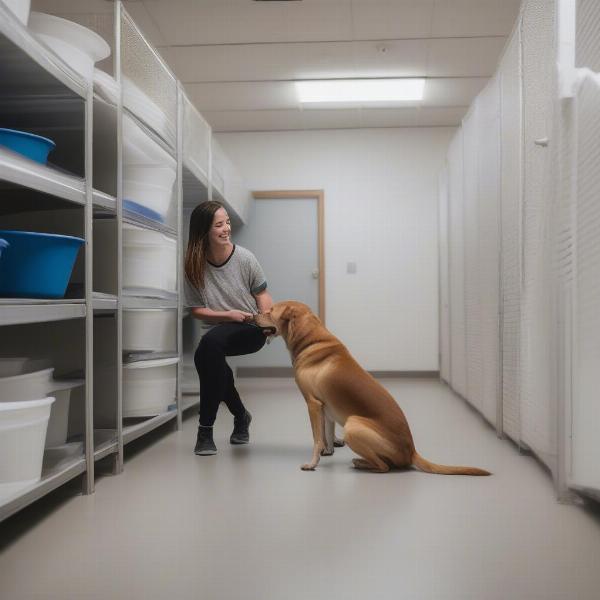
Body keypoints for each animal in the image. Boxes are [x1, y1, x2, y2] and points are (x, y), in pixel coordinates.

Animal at [255, 302, 490, 476]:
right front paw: (328, 451)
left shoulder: (312, 404)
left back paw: (361, 463)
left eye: (270, 310)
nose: (255, 314)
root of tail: (411, 450)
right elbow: (327, 434)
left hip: (353, 426)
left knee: (385, 467)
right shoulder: (325, 408)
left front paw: (313, 463)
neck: (311, 341)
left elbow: (316, 438)